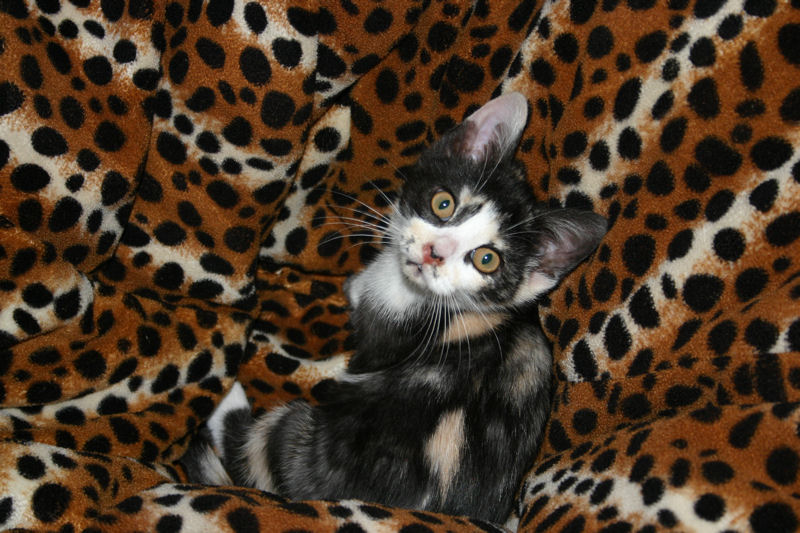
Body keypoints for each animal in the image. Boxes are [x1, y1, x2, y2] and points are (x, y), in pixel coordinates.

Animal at [181, 92, 607, 523]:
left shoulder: (382, 330)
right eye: (443, 203)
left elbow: (360, 315)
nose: (434, 252)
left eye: (487, 259)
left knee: (256, 441)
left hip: (295, 437)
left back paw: (225, 394)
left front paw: (351, 290)